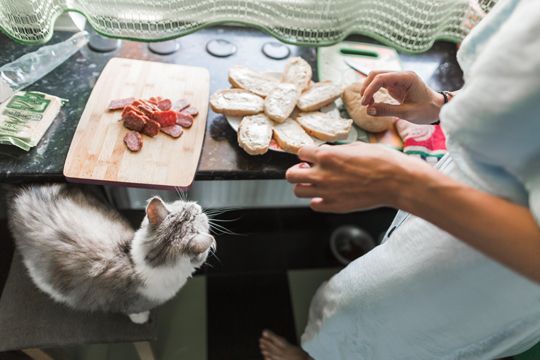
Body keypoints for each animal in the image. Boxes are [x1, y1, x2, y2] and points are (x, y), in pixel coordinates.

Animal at [7, 186, 215, 324]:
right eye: (189, 209)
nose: (198, 206)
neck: (146, 263)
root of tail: (21, 197)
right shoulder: (135, 302)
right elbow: (137, 313)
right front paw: (142, 318)